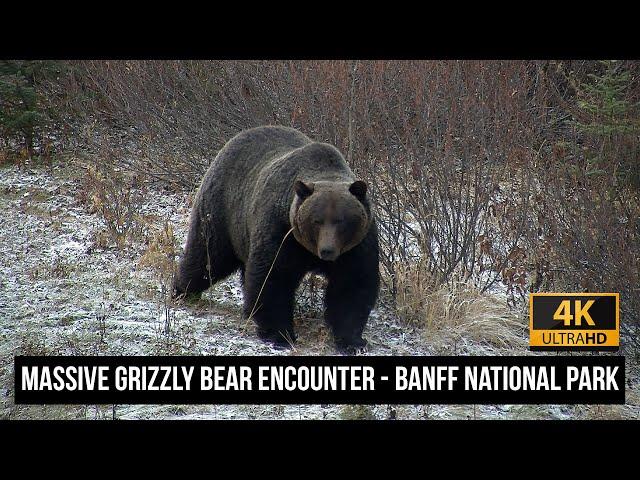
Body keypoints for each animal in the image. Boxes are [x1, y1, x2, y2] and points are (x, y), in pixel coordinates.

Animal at [172, 125, 378, 352]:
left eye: (341, 221)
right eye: (317, 220)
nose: (327, 251)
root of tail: (234, 139)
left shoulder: (357, 245)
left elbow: (352, 286)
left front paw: (353, 340)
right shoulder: (282, 232)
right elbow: (273, 277)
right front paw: (279, 334)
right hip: (222, 211)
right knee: (207, 256)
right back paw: (182, 291)